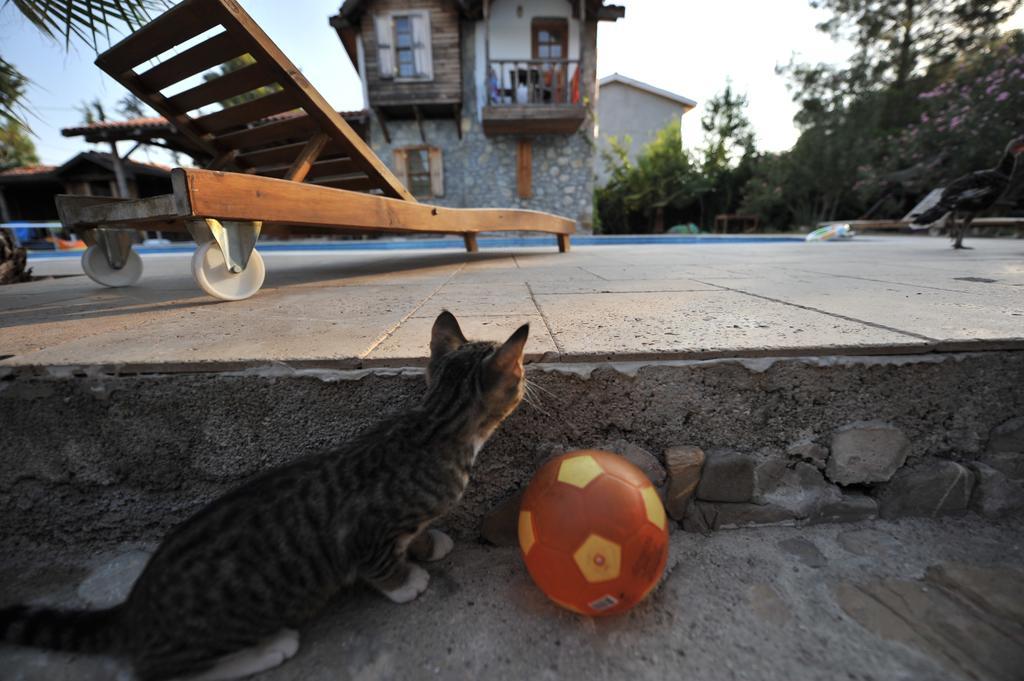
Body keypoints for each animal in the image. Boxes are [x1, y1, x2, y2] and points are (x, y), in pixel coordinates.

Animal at [0, 311, 528, 679]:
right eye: (520, 377)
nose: (529, 383)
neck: (432, 428)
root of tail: (134, 608)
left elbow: (415, 532)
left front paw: (428, 542)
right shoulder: (366, 532)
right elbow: (380, 565)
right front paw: (407, 581)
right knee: (159, 670)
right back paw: (268, 649)